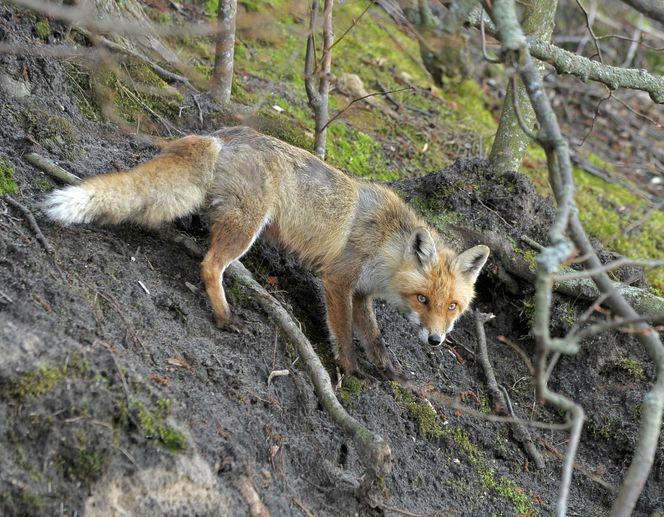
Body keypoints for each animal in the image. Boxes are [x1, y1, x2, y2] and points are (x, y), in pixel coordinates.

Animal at [42, 125, 488, 378]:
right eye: (423, 299)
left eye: (452, 306)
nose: (436, 340)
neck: (385, 250)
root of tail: (225, 136)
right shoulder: (338, 281)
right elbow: (344, 334)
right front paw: (350, 370)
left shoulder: (361, 293)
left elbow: (374, 336)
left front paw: (388, 368)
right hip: (247, 227)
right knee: (210, 265)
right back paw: (225, 317)